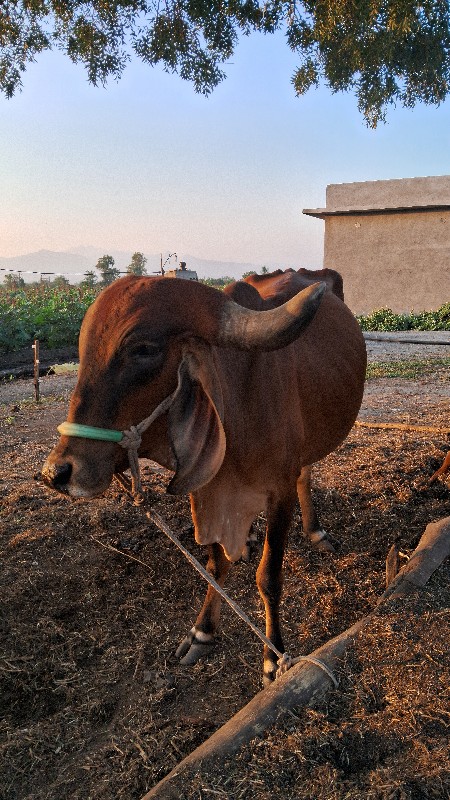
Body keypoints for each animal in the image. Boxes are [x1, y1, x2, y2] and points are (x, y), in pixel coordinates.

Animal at [41, 272, 366, 684]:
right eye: (83, 351)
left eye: (143, 349)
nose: (58, 472)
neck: (238, 404)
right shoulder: (206, 491)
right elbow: (215, 566)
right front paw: (202, 632)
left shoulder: (279, 493)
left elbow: (269, 577)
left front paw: (273, 657)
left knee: (305, 476)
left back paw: (315, 531)